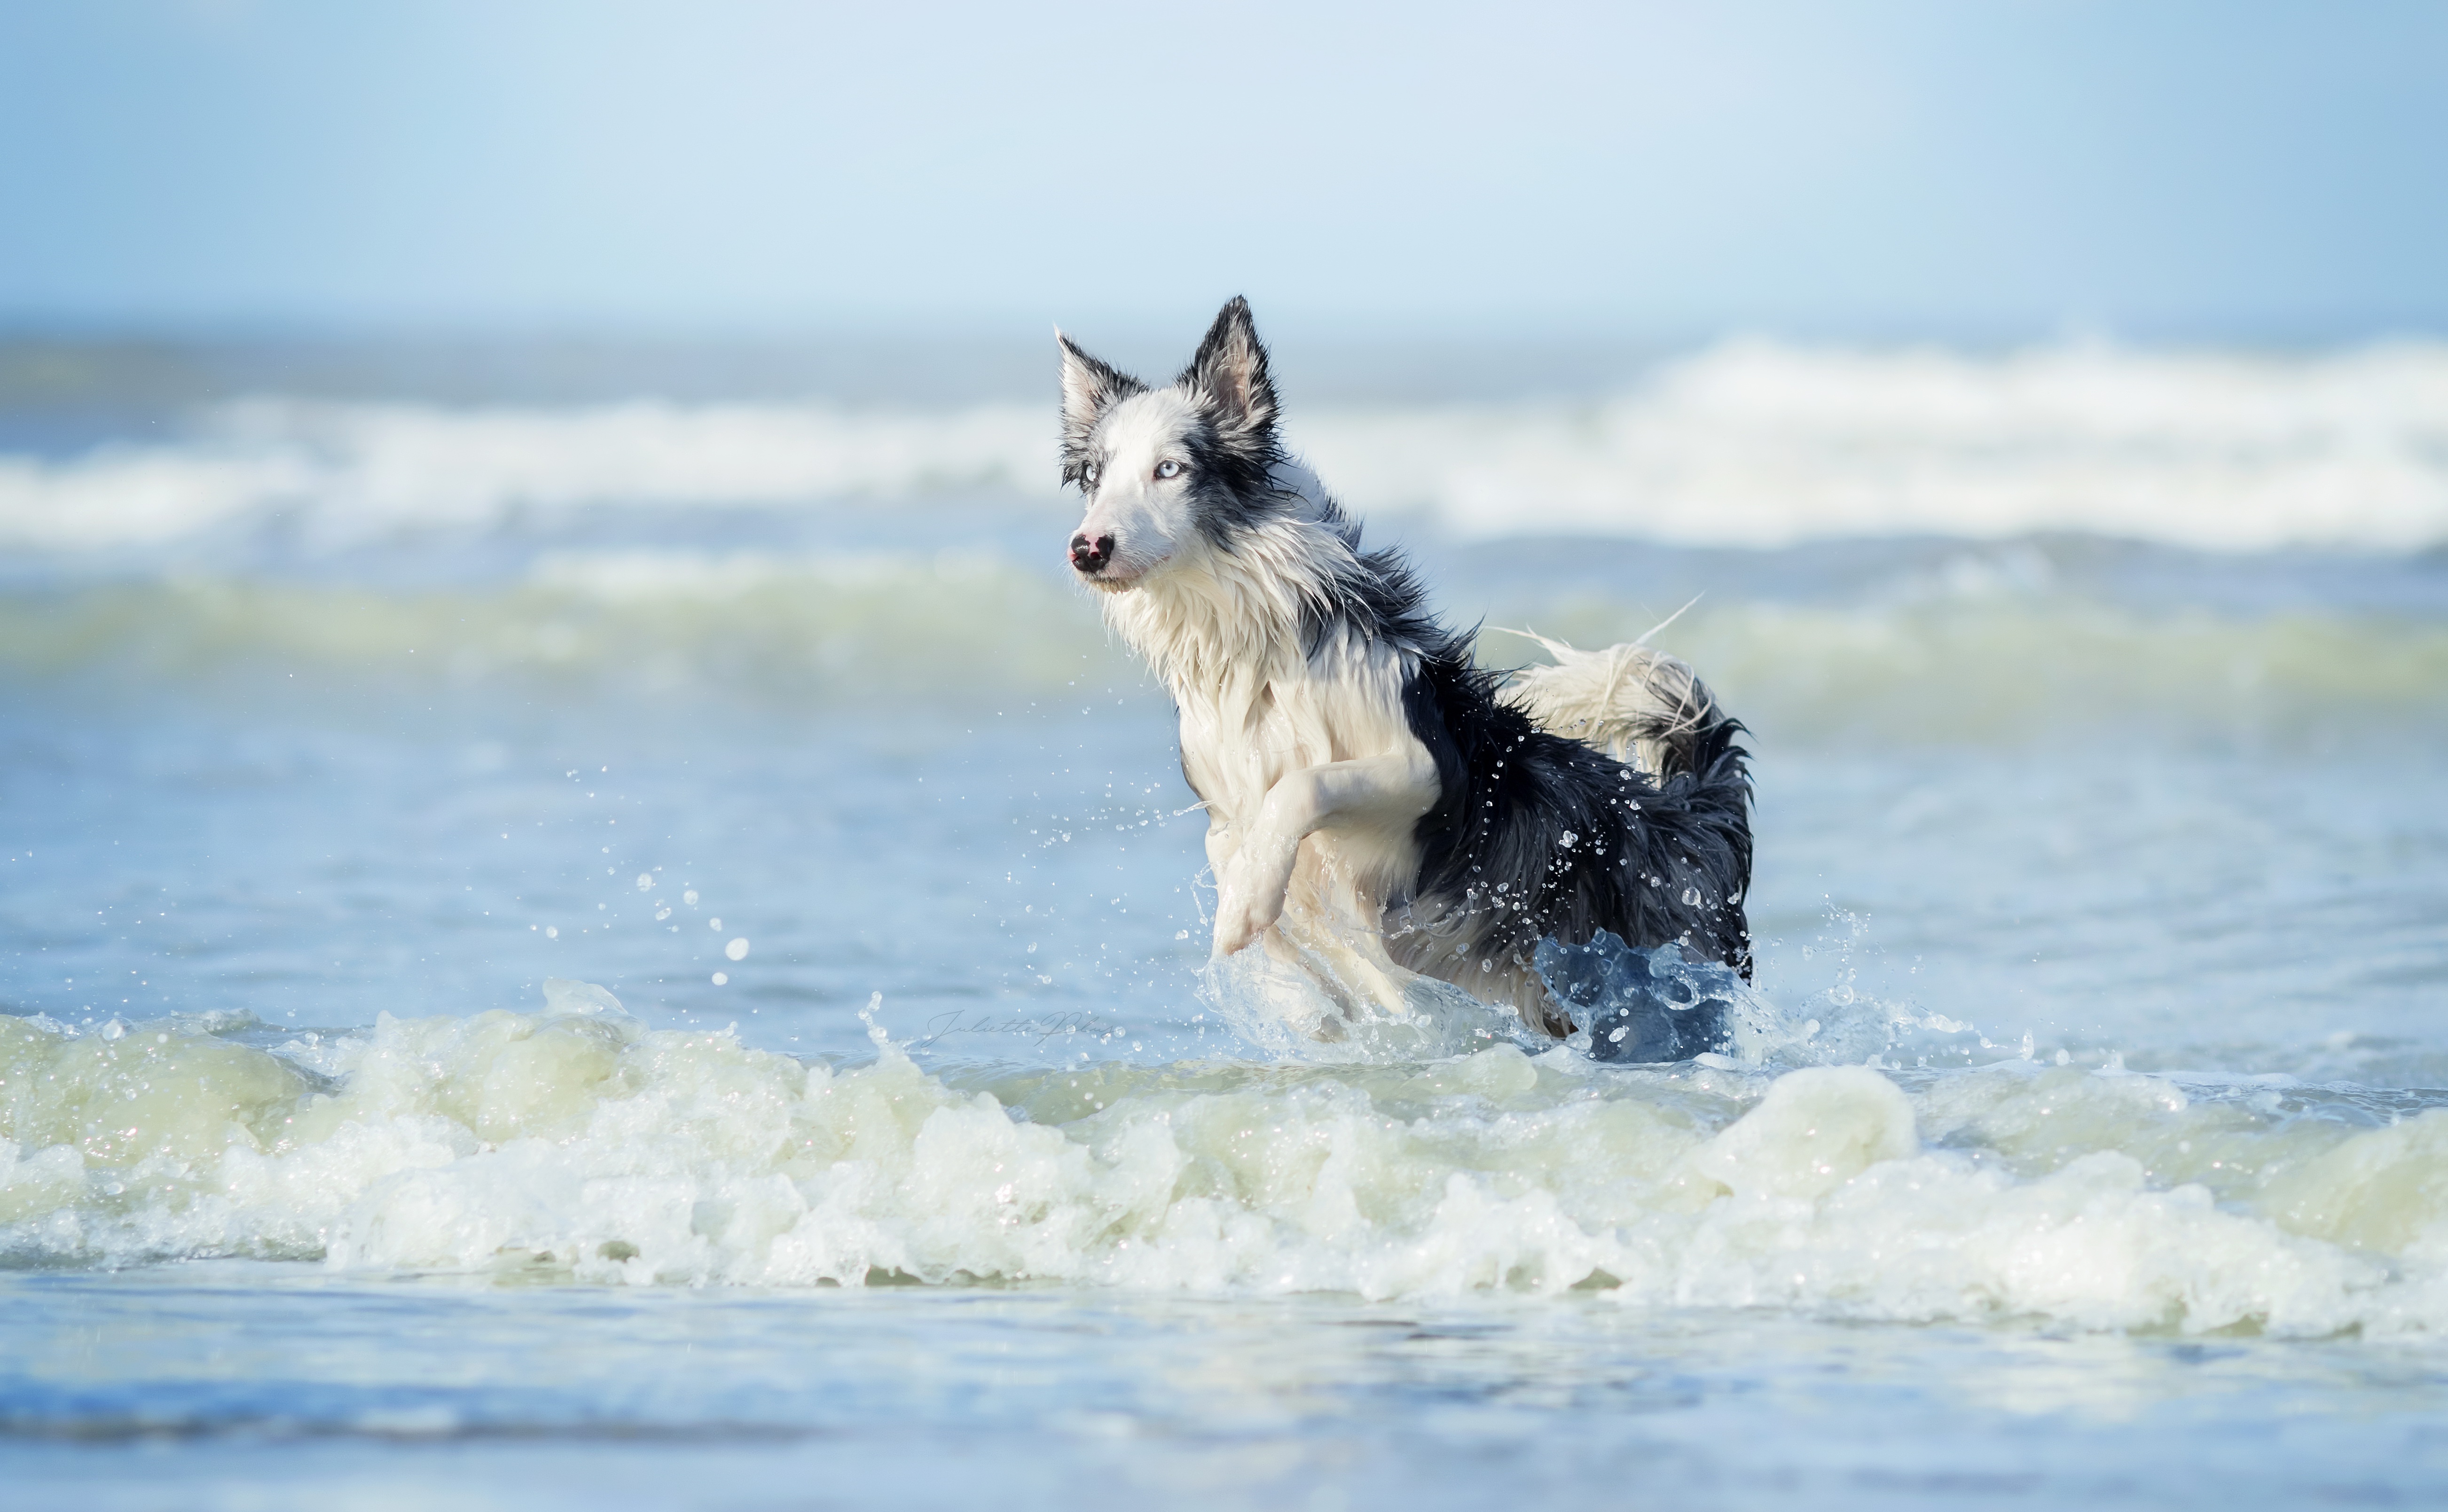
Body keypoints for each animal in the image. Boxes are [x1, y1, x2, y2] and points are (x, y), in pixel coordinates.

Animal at [1062, 295, 1752, 1047]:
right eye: (1095, 477)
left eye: (1169, 469)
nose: (1087, 548)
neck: (1255, 653)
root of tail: (1692, 808)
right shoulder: (1226, 806)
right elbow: (1237, 866)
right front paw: (1285, 977)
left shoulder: (1424, 768)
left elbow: (1304, 787)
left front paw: (1250, 907)